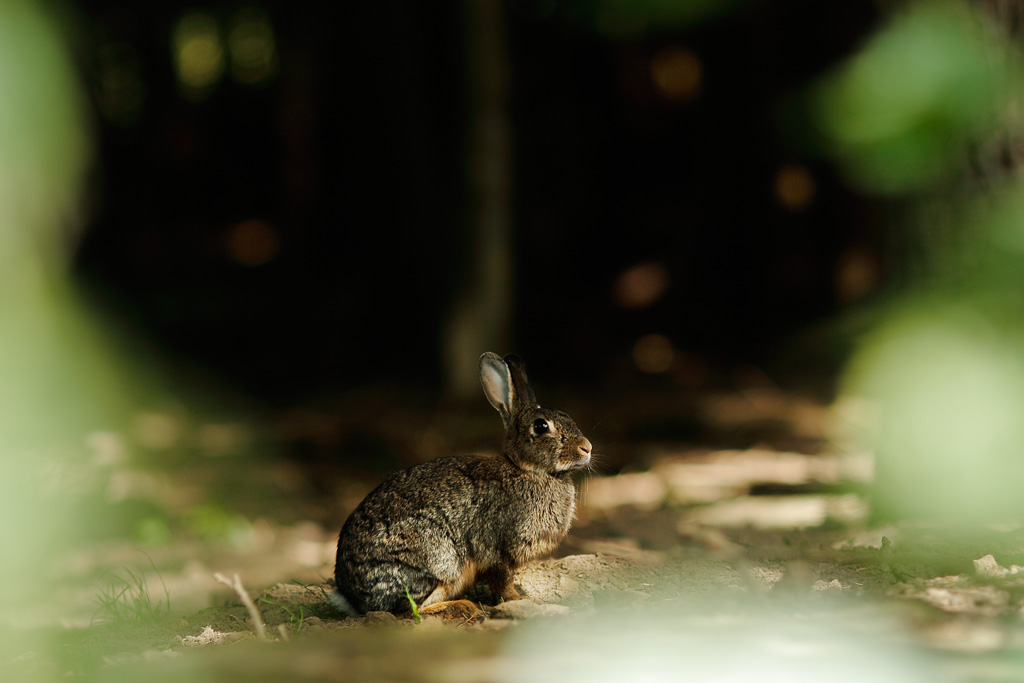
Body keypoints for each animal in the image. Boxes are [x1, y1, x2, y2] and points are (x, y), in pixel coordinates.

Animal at [331, 352, 593, 614]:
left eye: (567, 416)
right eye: (541, 426)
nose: (587, 448)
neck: (530, 470)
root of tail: (353, 597)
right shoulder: (500, 551)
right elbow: (503, 583)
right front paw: (520, 600)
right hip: (439, 559)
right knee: (412, 608)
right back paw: (464, 604)